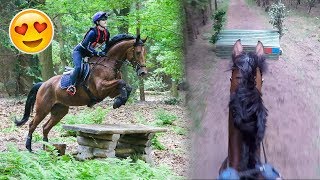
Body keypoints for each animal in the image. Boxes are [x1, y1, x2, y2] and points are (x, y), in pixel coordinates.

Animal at [14, 34, 148, 152]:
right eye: (137, 52)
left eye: (144, 52)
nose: (143, 72)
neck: (108, 64)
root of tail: (43, 84)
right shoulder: (101, 88)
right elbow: (122, 82)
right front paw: (118, 102)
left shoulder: (110, 91)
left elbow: (126, 86)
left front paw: (119, 101)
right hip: (43, 108)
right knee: (32, 125)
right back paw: (29, 147)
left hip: (59, 111)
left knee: (45, 127)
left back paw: (47, 147)